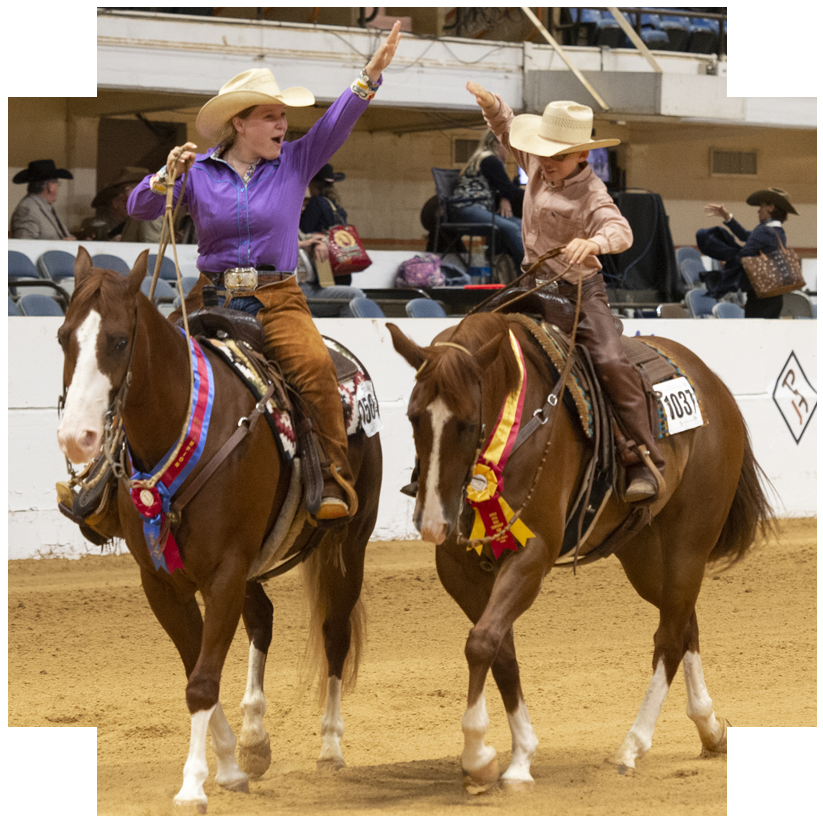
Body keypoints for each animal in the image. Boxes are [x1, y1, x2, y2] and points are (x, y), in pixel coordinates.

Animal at [56, 250, 384, 816]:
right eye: (62, 337)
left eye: (118, 340)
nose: (77, 437)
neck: (181, 430)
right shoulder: (162, 583)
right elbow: (197, 669)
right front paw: (230, 764)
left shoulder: (226, 572)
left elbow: (204, 682)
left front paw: (193, 785)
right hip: (255, 561)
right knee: (263, 621)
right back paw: (255, 737)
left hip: (348, 545)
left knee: (335, 634)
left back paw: (330, 746)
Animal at [386, 314, 772, 792]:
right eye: (413, 416)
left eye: (466, 422)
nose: (433, 521)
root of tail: (714, 386)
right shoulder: (459, 569)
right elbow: (500, 650)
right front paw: (519, 756)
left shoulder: (533, 555)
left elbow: (481, 643)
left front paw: (479, 756)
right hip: (646, 555)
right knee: (684, 626)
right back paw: (710, 727)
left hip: (689, 543)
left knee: (668, 637)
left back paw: (632, 746)